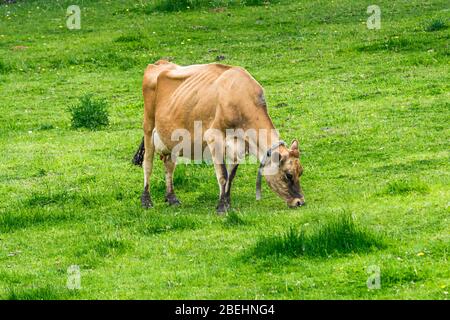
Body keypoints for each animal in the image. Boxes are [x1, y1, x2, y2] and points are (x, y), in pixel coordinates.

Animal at [139, 61, 304, 214]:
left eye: (300, 172)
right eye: (288, 175)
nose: (300, 202)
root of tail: (160, 63)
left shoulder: (241, 145)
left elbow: (231, 175)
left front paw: (227, 202)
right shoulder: (214, 137)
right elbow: (223, 175)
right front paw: (222, 208)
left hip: (171, 139)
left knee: (169, 165)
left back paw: (172, 198)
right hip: (148, 127)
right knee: (147, 164)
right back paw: (146, 200)